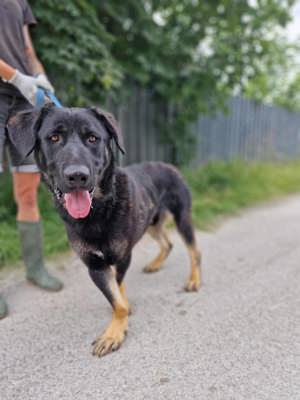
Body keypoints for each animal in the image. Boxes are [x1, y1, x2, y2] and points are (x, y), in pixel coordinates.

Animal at [7, 104, 202, 358]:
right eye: (54, 137)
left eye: (93, 138)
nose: (77, 176)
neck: (98, 211)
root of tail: (168, 165)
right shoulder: (95, 265)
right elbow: (115, 298)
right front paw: (119, 318)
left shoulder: (122, 256)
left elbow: (118, 294)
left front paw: (114, 332)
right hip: (151, 223)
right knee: (167, 243)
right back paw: (155, 264)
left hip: (182, 218)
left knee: (194, 251)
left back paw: (194, 280)